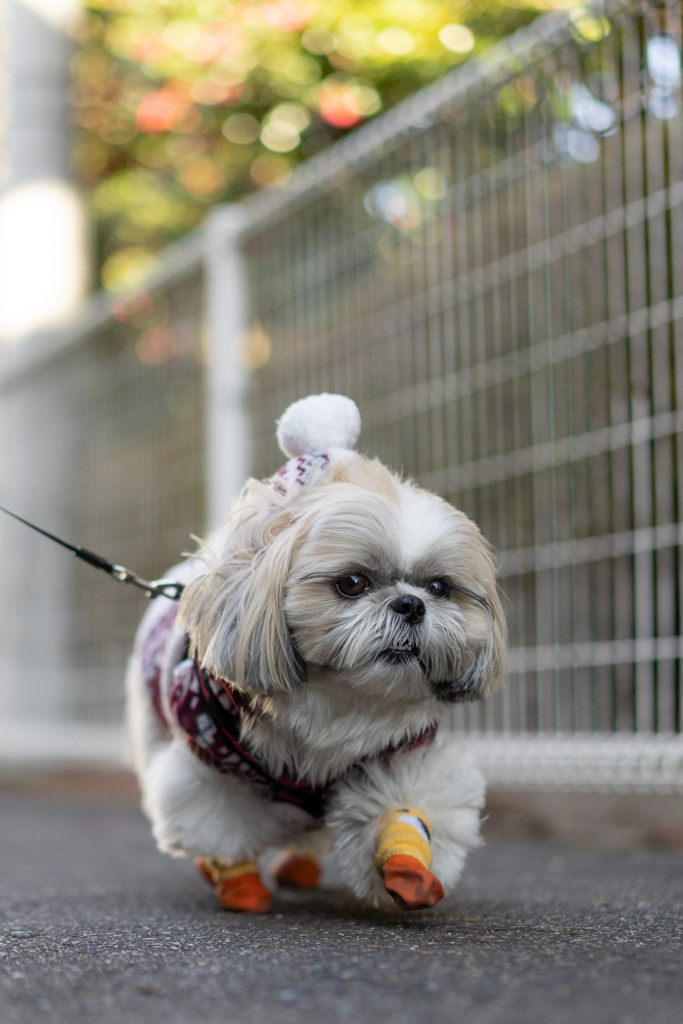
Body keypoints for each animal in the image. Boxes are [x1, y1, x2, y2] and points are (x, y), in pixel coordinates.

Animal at [125, 395, 505, 917]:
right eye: (352, 583)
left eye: (439, 587)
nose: (410, 604)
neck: (339, 702)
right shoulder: (208, 768)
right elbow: (221, 831)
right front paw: (240, 886)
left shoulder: (398, 759)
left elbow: (403, 812)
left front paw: (406, 871)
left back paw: (299, 867)